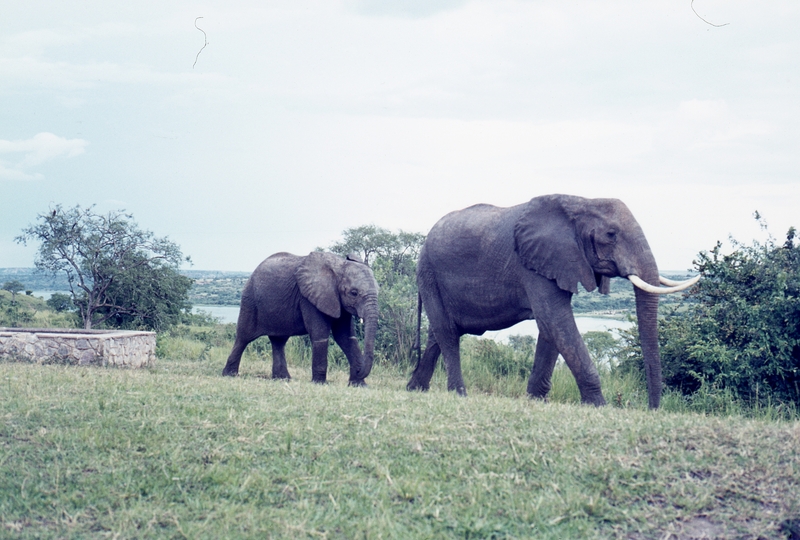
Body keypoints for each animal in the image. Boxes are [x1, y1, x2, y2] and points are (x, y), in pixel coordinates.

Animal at [222, 251, 378, 386]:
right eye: (354, 293)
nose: (359, 370)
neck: (338, 267)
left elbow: (346, 337)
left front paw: (360, 385)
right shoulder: (309, 298)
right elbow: (320, 336)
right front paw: (319, 384)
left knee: (278, 341)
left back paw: (282, 379)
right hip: (250, 301)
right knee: (243, 338)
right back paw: (229, 375)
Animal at [410, 192, 696, 408]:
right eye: (611, 235)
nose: (652, 410)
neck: (581, 202)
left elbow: (550, 329)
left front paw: (535, 401)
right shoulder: (533, 264)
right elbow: (555, 321)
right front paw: (599, 407)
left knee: (438, 333)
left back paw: (415, 389)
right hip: (428, 272)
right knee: (447, 332)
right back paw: (458, 394)